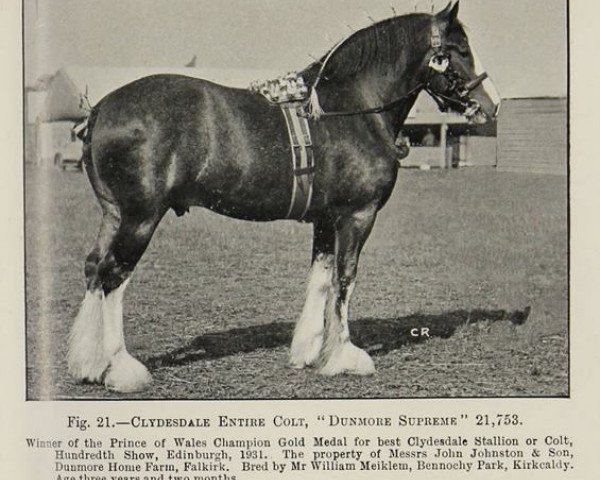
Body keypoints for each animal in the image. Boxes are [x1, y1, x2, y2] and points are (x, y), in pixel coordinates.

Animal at [68, 1, 502, 392]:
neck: (352, 108)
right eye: (459, 50)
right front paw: (345, 357)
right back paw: (122, 370)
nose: (492, 104)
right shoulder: (357, 216)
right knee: (113, 276)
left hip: (114, 215)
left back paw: (89, 365)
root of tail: (100, 109)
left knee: (93, 268)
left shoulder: (326, 219)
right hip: (140, 218)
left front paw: (308, 352)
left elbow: (321, 279)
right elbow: (345, 279)